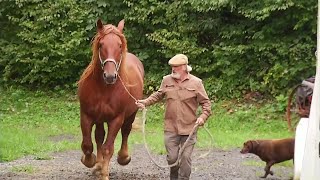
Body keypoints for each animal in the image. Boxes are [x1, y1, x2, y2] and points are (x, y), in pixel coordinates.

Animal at [77, 19, 144, 179]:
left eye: (119, 45)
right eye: (101, 45)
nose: (109, 76)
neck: (104, 89)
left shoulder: (116, 119)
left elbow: (108, 148)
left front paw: (104, 173)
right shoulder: (86, 116)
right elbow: (87, 145)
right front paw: (91, 161)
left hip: (130, 115)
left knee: (125, 132)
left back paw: (123, 157)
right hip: (100, 118)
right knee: (99, 136)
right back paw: (98, 164)